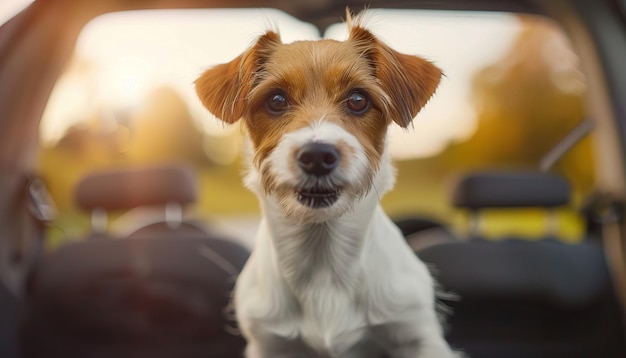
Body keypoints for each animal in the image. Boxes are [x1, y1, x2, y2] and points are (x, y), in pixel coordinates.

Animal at [193, 9, 460, 356]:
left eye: (358, 99)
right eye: (276, 100)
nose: (317, 156)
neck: (323, 257)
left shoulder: (417, 336)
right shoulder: (268, 343)